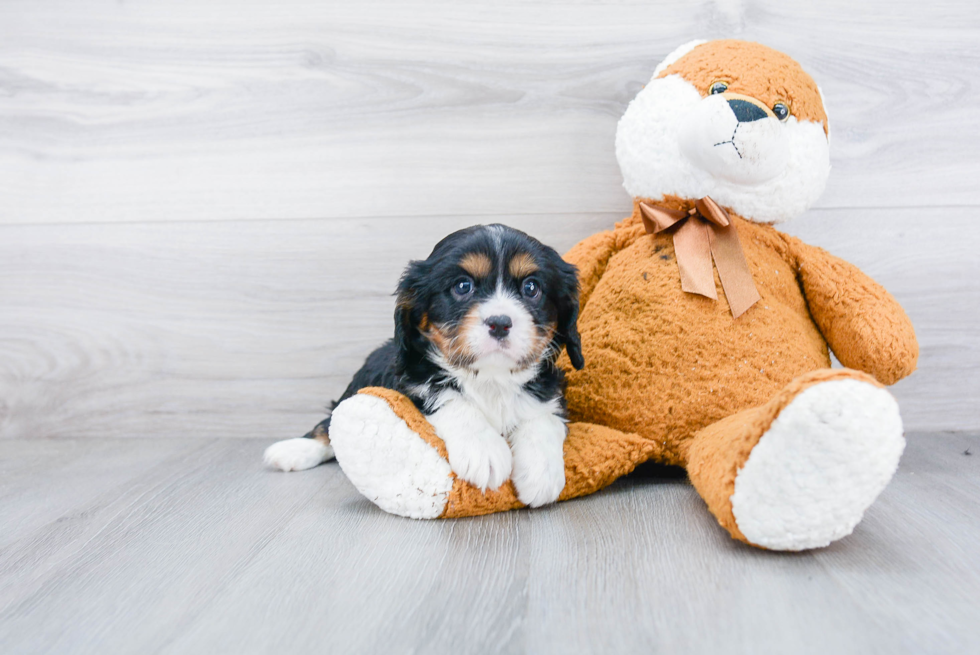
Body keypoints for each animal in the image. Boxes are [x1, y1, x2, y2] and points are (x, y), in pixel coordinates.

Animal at [264, 224, 580, 508]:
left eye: (531, 288)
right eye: (463, 286)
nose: (500, 322)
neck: (490, 377)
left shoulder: (549, 389)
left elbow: (542, 416)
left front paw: (542, 472)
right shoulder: (412, 380)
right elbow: (449, 397)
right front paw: (485, 451)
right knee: (328, 423)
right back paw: (291, 450)